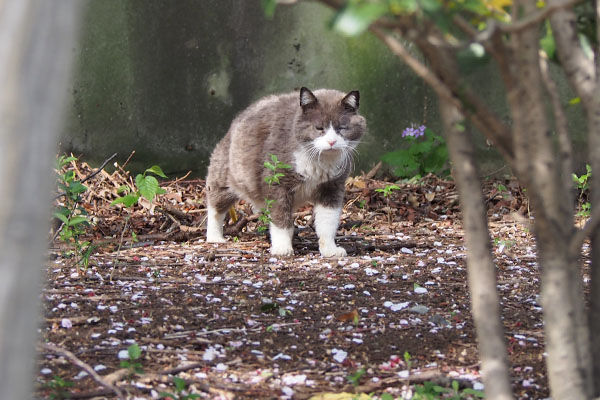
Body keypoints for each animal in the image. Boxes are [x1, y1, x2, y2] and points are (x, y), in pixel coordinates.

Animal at [206, 87, 366, 256]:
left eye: (342, 128)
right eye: (319, 128)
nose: (331, 142)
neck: (319, 160)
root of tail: (234, 122)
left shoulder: (332, 187)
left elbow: (327, 221)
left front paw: (330, 249)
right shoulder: (278, 185)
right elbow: (280, 219)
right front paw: (282, 248)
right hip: (223, 177)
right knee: (215, 207)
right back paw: (215, 237)